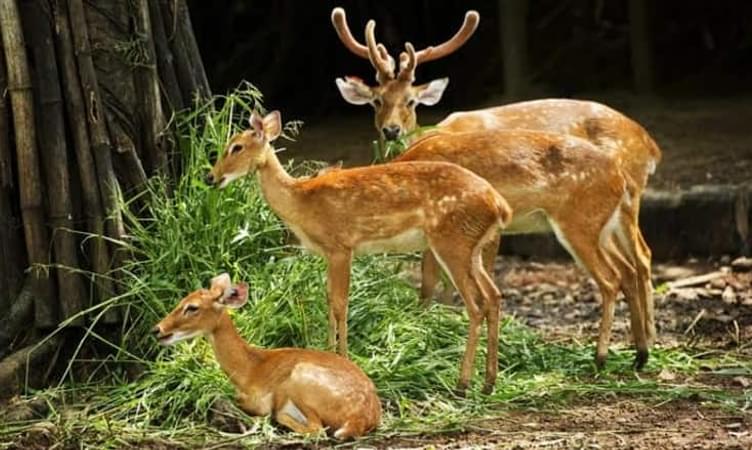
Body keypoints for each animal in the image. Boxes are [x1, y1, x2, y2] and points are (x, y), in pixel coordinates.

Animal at [152, 273, 381, 439]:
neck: (248, 370)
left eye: (192, 307)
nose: (157, 329)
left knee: (317, 429)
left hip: (300, 379)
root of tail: (362, 417)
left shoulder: (258, 400)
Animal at [206, 110, 513, 395]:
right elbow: (329, 299)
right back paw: (488, 383)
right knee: (493, 296)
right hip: (472, 248)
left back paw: (463, 384)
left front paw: (344, 357)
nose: (210, 177)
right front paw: (328, 354)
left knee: (475, 305)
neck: (300, 201)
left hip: (452, 243)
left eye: (236, 146)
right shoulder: (329, 253)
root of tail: (500, 205)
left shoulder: (341, 246)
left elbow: (341, 304)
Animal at [331, 7, 660, 350]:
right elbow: (433, 279)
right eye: (376, 100)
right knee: (632, 264)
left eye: (411, 100)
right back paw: (641, 342)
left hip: (626, 201)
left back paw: (645, 339)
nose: (391, 130)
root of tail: (651, 146)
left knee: (641, 257)